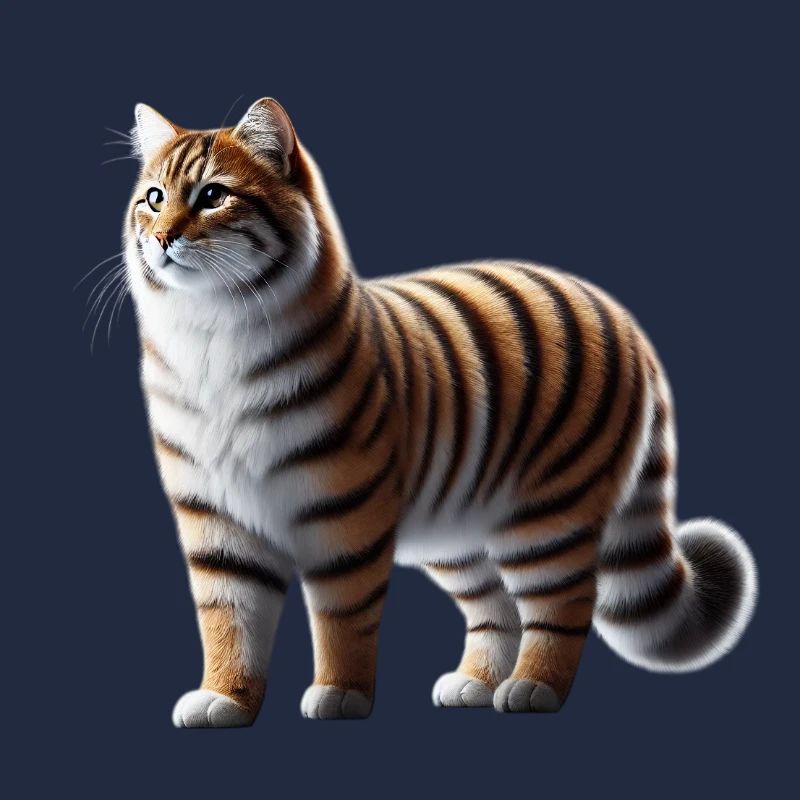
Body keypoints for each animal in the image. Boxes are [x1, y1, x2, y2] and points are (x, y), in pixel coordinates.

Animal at [123, 97, 757, 727]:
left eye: (212, 195)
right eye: (153, 197)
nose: (162, 237)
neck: (208, 331)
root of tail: (624, 318)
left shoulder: (343, 511)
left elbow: (342, 618)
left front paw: (340, 695)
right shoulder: (214, 517)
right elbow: (228, 619)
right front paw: (224, 698)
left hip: (548, 512)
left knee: (568, 602)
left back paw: (533, 687)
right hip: (455, 530)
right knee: (496, 604)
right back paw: (475, 684)